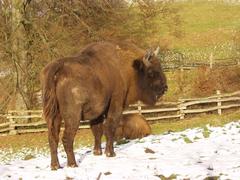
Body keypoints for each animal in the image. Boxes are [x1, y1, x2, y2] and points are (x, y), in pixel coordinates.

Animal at [40, 40, 167, 169]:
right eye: (151, 72)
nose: (165, 88)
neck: (128, 68)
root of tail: (57, 68)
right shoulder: (115, 104)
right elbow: (110, 128)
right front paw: (110, 153)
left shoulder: (97, 112)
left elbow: (97, 130)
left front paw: (97, 152)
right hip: (73, 116)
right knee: (67, 138)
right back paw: (72, 164)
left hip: (54, 115)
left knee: (53, 138)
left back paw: (55, 166)